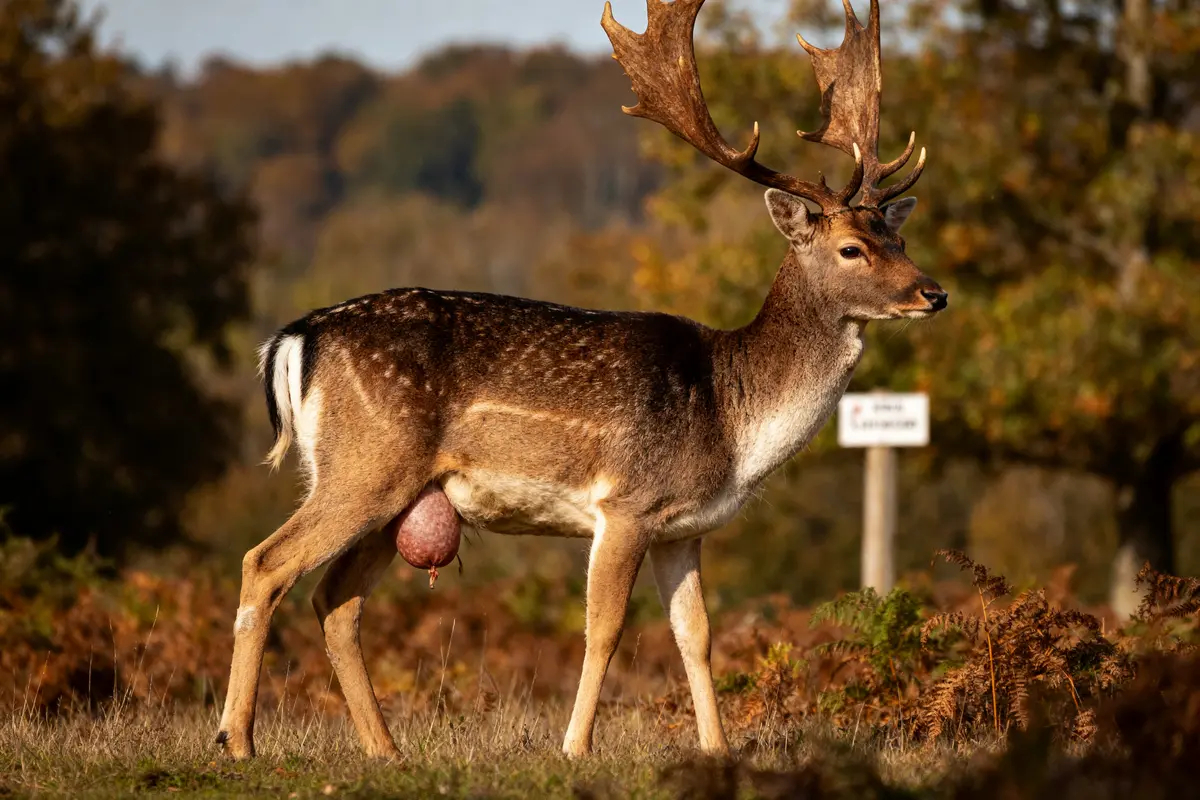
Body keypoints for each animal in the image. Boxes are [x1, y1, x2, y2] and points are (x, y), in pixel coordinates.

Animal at [214, 0, 946, 762]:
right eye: (852, 248)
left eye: (899, 239)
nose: (934, 293)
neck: (732, 419)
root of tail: (299, 336)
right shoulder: (625, 503)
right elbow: (605, 630)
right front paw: (574, 747)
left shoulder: (685, 529)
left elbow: (697, 636)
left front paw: (717, 750)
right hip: (366, 465)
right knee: (266, 563)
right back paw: (236, 739)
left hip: (397, 495)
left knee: (335, 599)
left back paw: (384, 749)